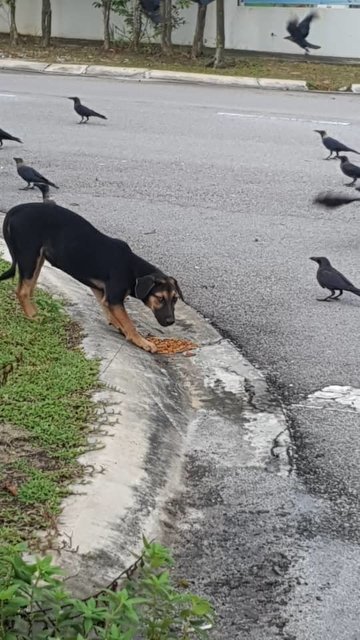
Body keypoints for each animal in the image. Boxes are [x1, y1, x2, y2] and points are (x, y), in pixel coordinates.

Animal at [0, 202, 183, 352]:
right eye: (159, 298)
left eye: (175, 299)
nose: (170, 321)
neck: (133, 269)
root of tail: (15, 210)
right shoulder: (114, 299)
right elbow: (129, 324)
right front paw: (142, 341)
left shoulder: (102, 294)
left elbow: (110, 314)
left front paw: (119, 327)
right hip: (29, 256)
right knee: (22, 291)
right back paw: (33, 316)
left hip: (37, 259)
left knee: (29, 289)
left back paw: (35, 312)